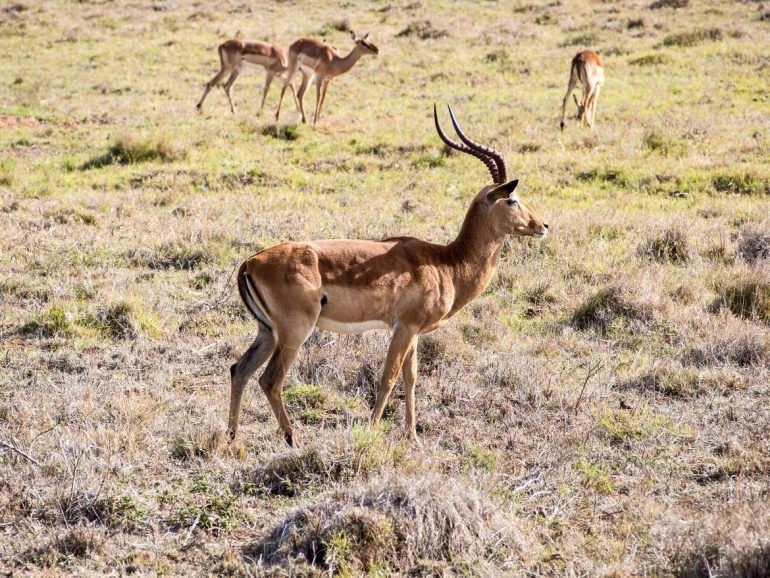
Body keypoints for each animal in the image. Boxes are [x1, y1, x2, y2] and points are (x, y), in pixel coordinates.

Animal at [225, 104, 548, 446]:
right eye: (512, 199)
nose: (543, 225)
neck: (445, 262)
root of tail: (250, 263)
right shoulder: (403, 327)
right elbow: (389, 377)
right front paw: (370, 430)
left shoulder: (415, 332)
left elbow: (411, 378)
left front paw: (413, 436)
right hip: (294, 332)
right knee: (270, 380)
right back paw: (292, 439)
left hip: (267, 332)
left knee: (239, 370)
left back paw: (232, 440)